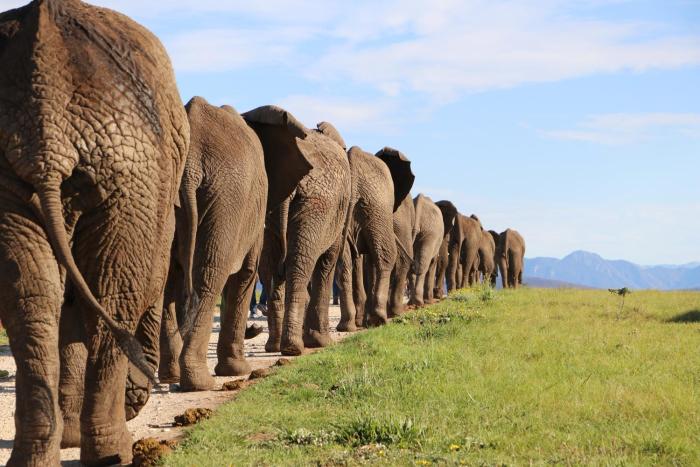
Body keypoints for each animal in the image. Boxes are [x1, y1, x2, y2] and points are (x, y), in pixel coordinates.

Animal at [0, 1, 189, 465]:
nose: (140, 396)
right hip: (131, 167)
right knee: (116, 289)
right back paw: (114, 452)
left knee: (31, 293)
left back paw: (38, 456)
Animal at [243, 107, 352, 356]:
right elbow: (327, 263)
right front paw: (320, 342)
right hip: (317, 205)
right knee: (299, 265)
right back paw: (294, 347)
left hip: (271, 208)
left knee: (271, 269)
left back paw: (275, 346)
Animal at [334, 144, 415, 330]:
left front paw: (363, 322)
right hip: (376, 206)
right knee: (387, 255)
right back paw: (380, 319)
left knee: (344, 262)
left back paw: (346, 326)